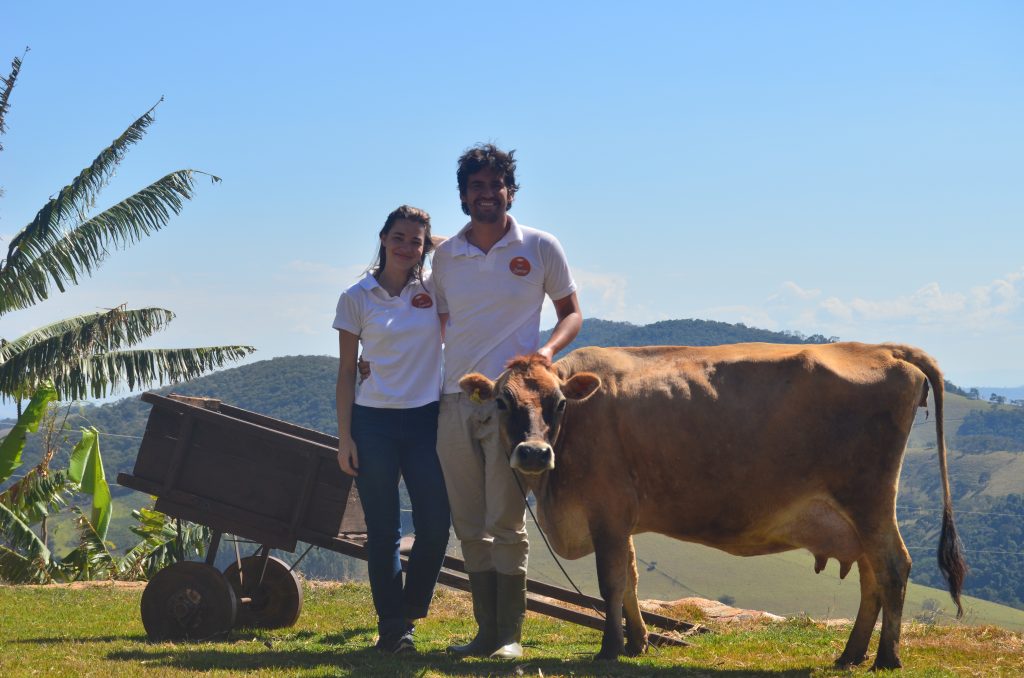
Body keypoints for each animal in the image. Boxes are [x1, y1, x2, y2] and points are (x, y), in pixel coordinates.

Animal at [462, 342, 966, 671]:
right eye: (503, 401)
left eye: (560, 402)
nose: (533, 453)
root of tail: (881, 348)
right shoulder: (622, 519)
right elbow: (631, 580)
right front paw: (638, 643)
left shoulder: (607, 512)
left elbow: (611, 583)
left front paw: (609, 649)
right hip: (857, 514)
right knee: (871, 577)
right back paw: (851, 654)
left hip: (868, 499)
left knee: (893, 567)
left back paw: (886, 658)